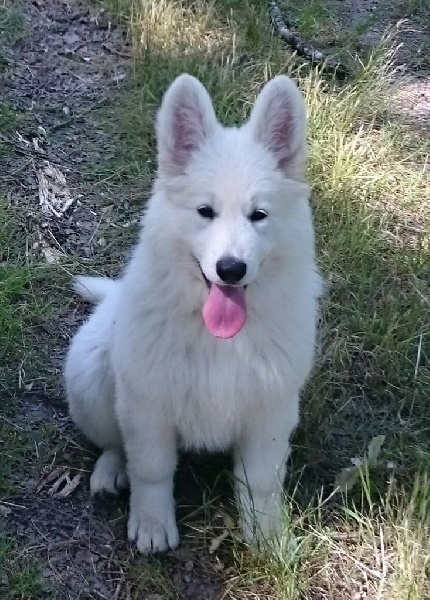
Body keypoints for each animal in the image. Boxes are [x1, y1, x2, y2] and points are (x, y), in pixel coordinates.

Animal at [63, 74, 320, 552]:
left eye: (259, 215)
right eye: (205, 211)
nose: (231, 269)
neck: (219, 337)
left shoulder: (271, 409)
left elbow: (260, 480)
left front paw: (265, 537)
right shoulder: (147, 404)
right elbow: (151, 470)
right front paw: (152, 525)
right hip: (90, 376)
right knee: (113, 443)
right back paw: (110, 471)